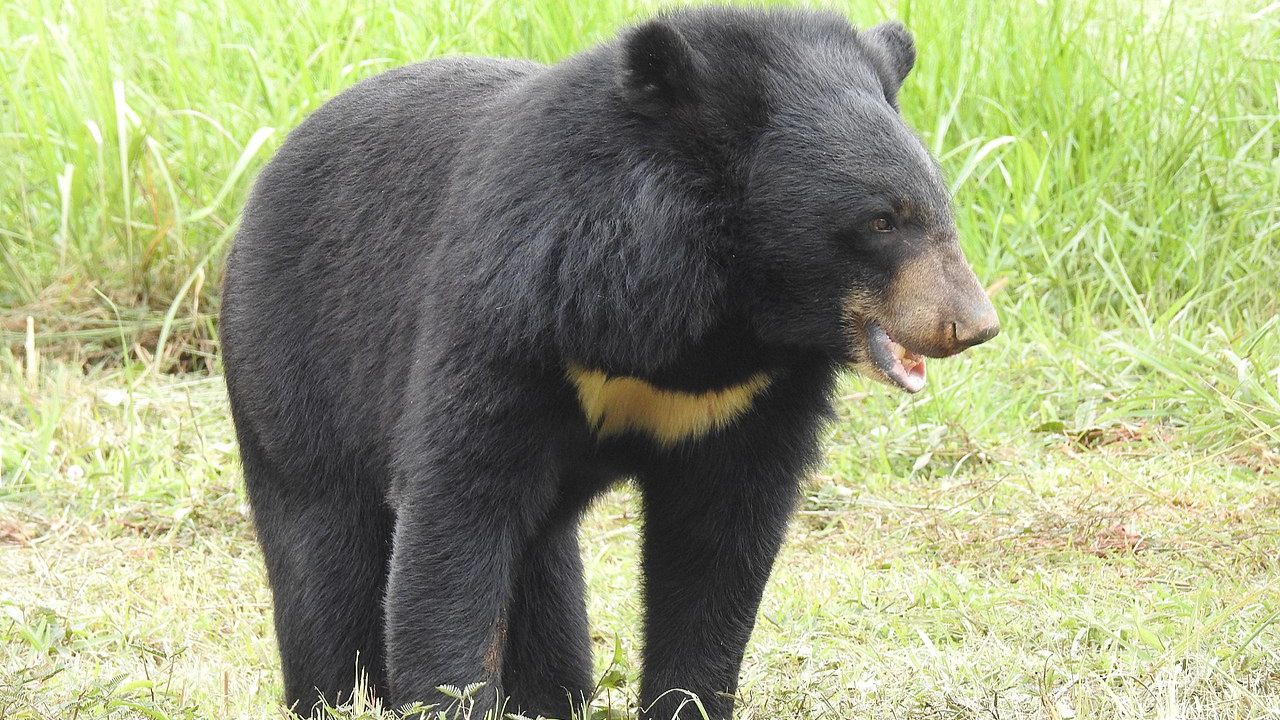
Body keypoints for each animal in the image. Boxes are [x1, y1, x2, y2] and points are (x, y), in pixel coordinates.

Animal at [219, 7, 999, 720]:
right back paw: (333, 694)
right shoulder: (514, 312)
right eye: (881, 221)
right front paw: (447, 697)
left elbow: (719, 544)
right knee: (325, 553)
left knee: (544, 574)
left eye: (941, 209)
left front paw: (687, 701)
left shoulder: (751, 395)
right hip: (295, 368)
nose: (972, 325)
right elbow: (457, 507)